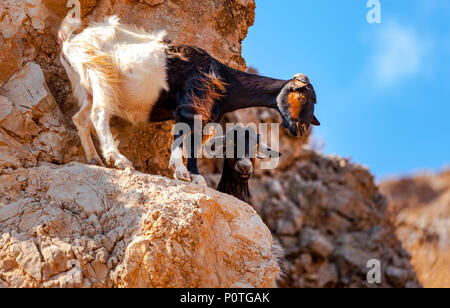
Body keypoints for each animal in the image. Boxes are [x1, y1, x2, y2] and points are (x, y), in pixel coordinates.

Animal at [59, 15, 320, 184]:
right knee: (99, 116)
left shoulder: (204, 115)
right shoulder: (189, 106)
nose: (300, 128)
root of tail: (70, 43)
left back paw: (94, 158)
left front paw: (192, 175)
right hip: (100, 76)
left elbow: (194, 142)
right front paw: (183, 172)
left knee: (80, 118)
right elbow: (184, 136)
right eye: (302, 95)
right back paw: (120, 160)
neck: (223, 79)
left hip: (86, 87)